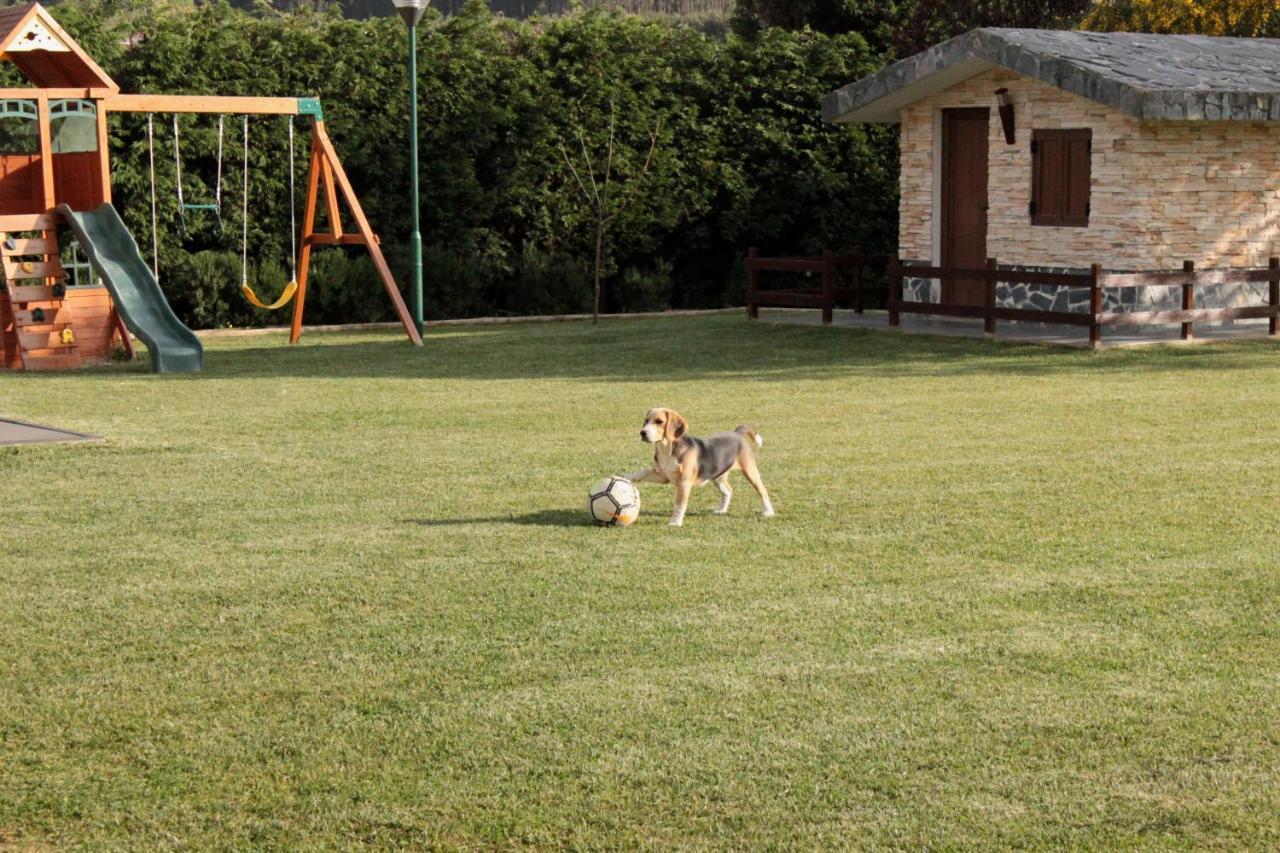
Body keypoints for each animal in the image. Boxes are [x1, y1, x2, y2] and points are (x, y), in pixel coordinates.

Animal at [627, 404, 773, 525]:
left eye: (659, 422)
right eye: (646, 420)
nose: (643, 432)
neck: (667, 448)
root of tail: (738, 433)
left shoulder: (684, 483)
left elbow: (679, 504)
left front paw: (675, 522)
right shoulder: (663, 475)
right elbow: (642, 472)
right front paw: (627, 477)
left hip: (750, 471)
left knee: (762, 491)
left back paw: (768, 512)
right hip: (718, 476)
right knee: (728, 490)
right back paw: (721, 510)